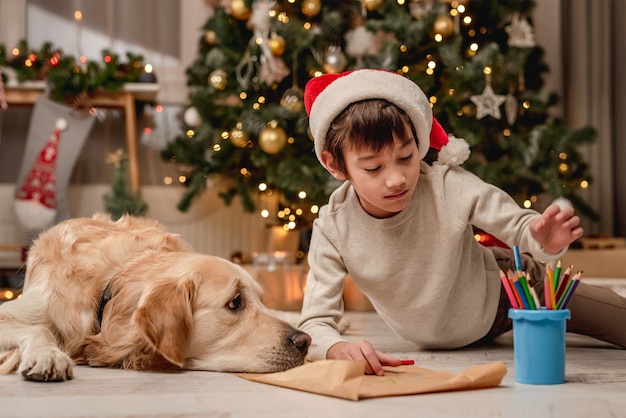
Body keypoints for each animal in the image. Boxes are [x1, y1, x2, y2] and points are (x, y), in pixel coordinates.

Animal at [0, 214, 310, 380]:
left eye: (260, 300)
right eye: (235, 302)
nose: (304, 342)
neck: (107, 287)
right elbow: (39, 328)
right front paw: (48, 355)